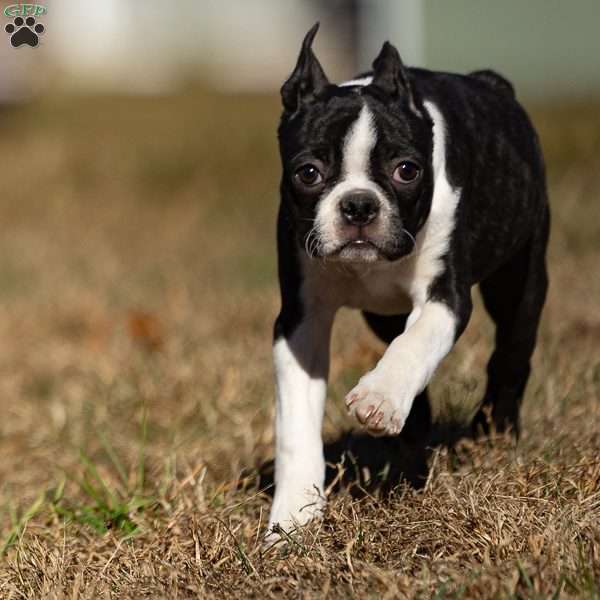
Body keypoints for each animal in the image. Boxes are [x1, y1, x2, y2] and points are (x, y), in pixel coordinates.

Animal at [268, 24, 548, 536]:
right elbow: (296, 421)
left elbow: (416, 344)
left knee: (512, 353)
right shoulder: (301, 320)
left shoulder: (447, 297)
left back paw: (494, 431)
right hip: (381, 314)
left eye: (407, 170)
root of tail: (493, 81)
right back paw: (412, 441)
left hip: (520, 280)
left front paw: (380, 395)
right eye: (308, 173)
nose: (359, 205)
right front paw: (294, 518)